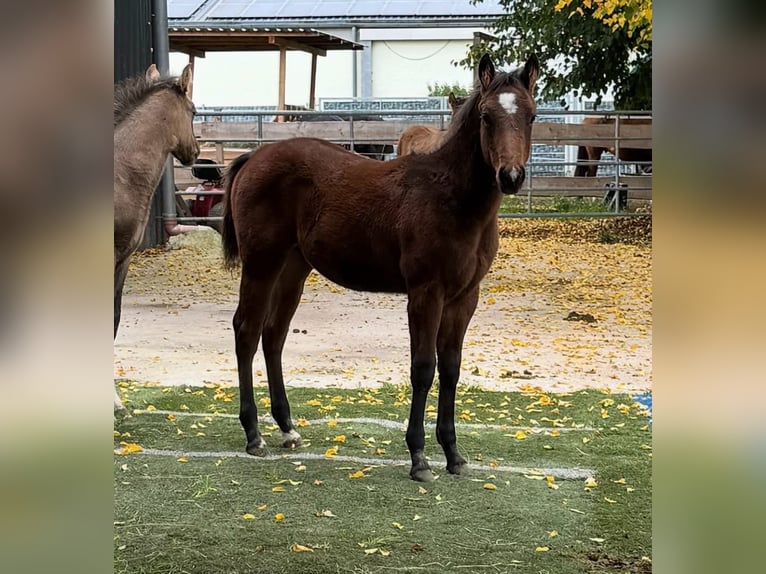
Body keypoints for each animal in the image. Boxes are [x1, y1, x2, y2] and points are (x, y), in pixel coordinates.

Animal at [221, 53, 538, 481]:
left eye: (531, 115)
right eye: (487, 117)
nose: (511, 176)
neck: (450, 197)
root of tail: (253, 156)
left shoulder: (464, 297)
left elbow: (451, 368)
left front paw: (453, 454)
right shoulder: (425, 293)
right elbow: (423, 367)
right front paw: (419, 457)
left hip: (293, 269)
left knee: (273, 335)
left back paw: (287, 429)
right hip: (261, 264)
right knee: (247, 331)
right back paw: (254, 434)